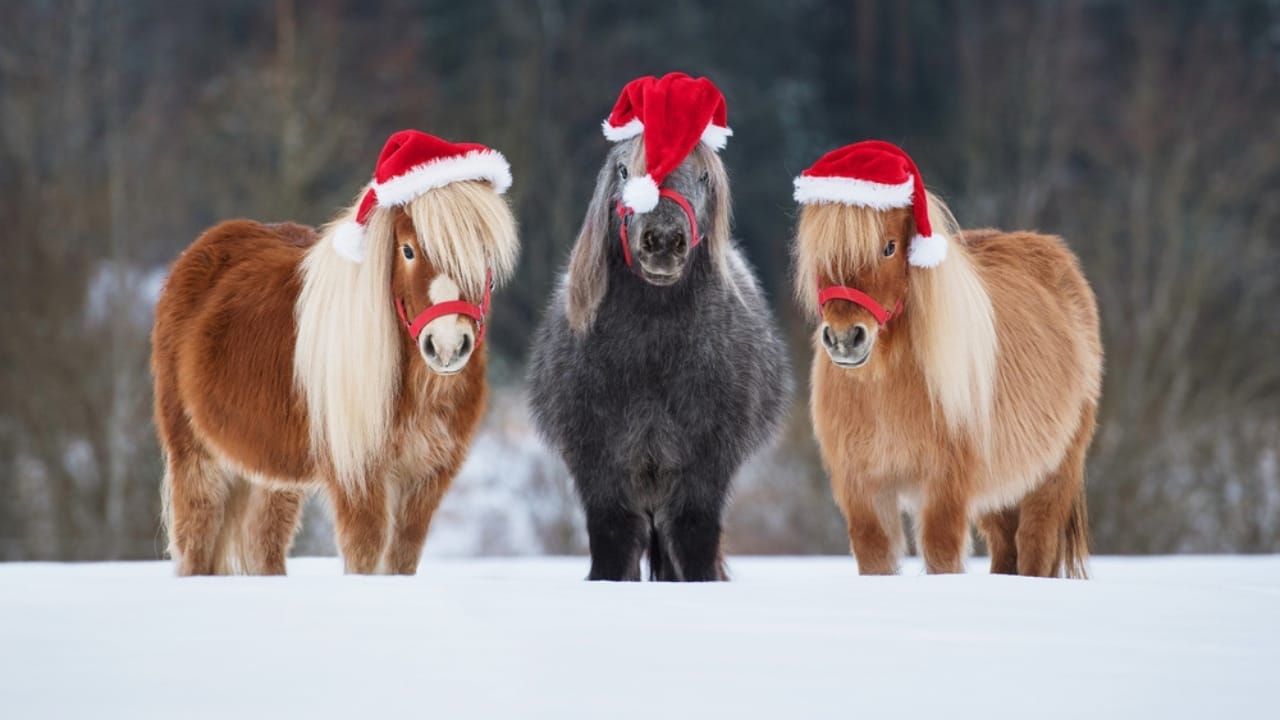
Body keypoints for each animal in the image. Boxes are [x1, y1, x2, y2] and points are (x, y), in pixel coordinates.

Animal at [151, 133, 519, 575]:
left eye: (481, 250)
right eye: (408, 250)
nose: (447, 346)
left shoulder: (427, 477)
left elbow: (402, 556)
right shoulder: (357, 474)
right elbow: (365, 552)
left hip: (271, 476)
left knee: (263, 543)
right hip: (197, 458)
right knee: (197, 544)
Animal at [528, 138, 791, 582]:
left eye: (703, 176)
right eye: (623, 170)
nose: (665, 240)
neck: (651, 355)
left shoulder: (706, 466)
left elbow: (693, 539)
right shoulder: (597, 466)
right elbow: (613, 542)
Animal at [793, 144, 1101, 578]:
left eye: (889, 247)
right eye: (820, 251)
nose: (843, 339)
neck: (884, 389)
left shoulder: (944, 488)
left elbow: (941, 556)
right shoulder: (863, 490)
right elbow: (875, 557)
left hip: (1052, 475)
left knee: (1035, 546)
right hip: (999, 493)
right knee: (1006, 548)